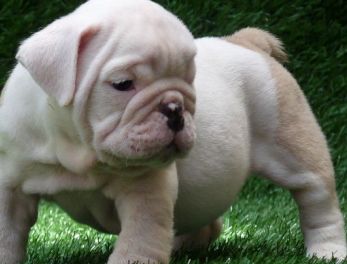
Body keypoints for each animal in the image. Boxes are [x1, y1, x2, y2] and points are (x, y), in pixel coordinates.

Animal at [0, 0, 347, 262]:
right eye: (123, 84)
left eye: (189, 78)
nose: (175, 109)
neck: (74, 150)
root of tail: (243, 41)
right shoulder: (10, 186)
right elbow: (8, 234)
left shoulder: (146, 190)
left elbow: (140, 236)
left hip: (293, 144)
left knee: (317, 198)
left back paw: (327, 251)